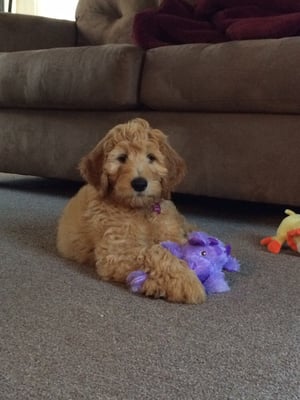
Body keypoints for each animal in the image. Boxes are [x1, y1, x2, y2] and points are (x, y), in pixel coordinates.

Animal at [56, 118, 206, 304]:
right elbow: (154, 251)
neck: (142, 211)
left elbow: (180, 246)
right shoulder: (117, 252)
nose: (139, 183)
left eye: (151, 157)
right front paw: (184, 280)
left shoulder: (171, 233)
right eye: (122, 158)